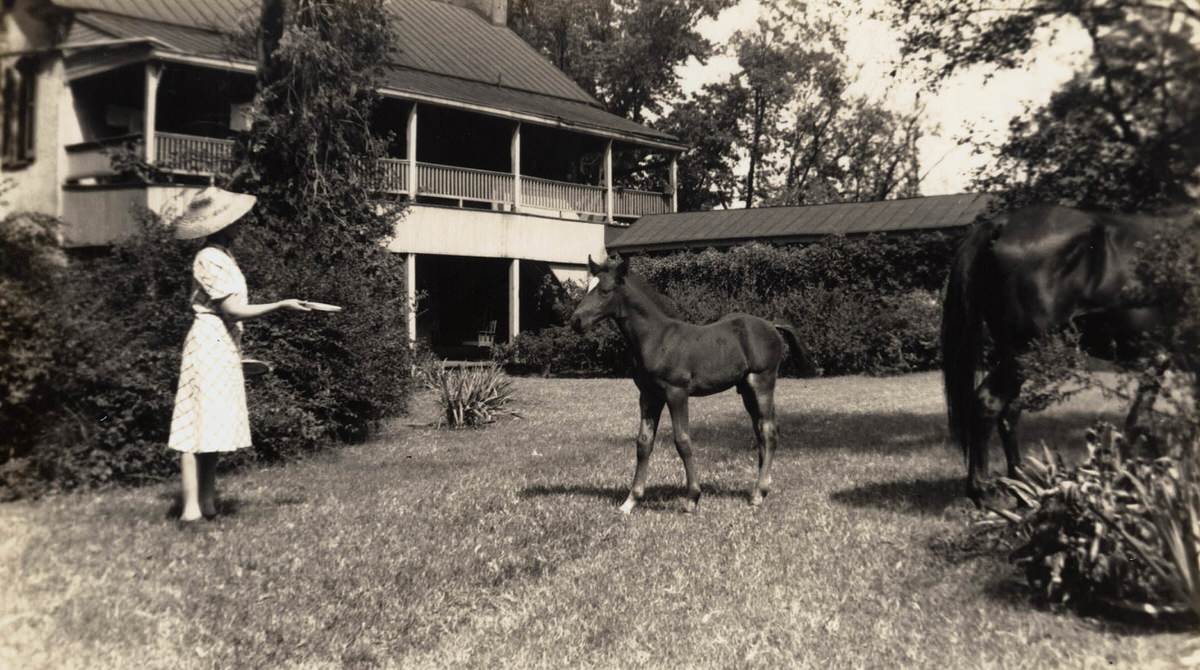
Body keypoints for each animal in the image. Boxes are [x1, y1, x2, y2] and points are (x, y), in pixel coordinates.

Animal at [568, 253, 806, 513]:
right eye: (588, 288)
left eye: (605, 290)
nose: (576, 321)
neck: (657, 338)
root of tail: (772, 325)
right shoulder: (649, 395)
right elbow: (643, 443)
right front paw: (630, 501)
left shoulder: (676, 393)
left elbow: (682, 440)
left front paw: (692, 497)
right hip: (746, 390)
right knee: (761, 430)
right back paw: (762, 488)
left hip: (762, 382)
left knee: (768, 431)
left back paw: (758, 494)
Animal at [940, 205, 1195, 504]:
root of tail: (1002, 224)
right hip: (1024, 352)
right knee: (988, 403)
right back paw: (986, 495)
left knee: (1009, 412)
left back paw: (1023, 490)